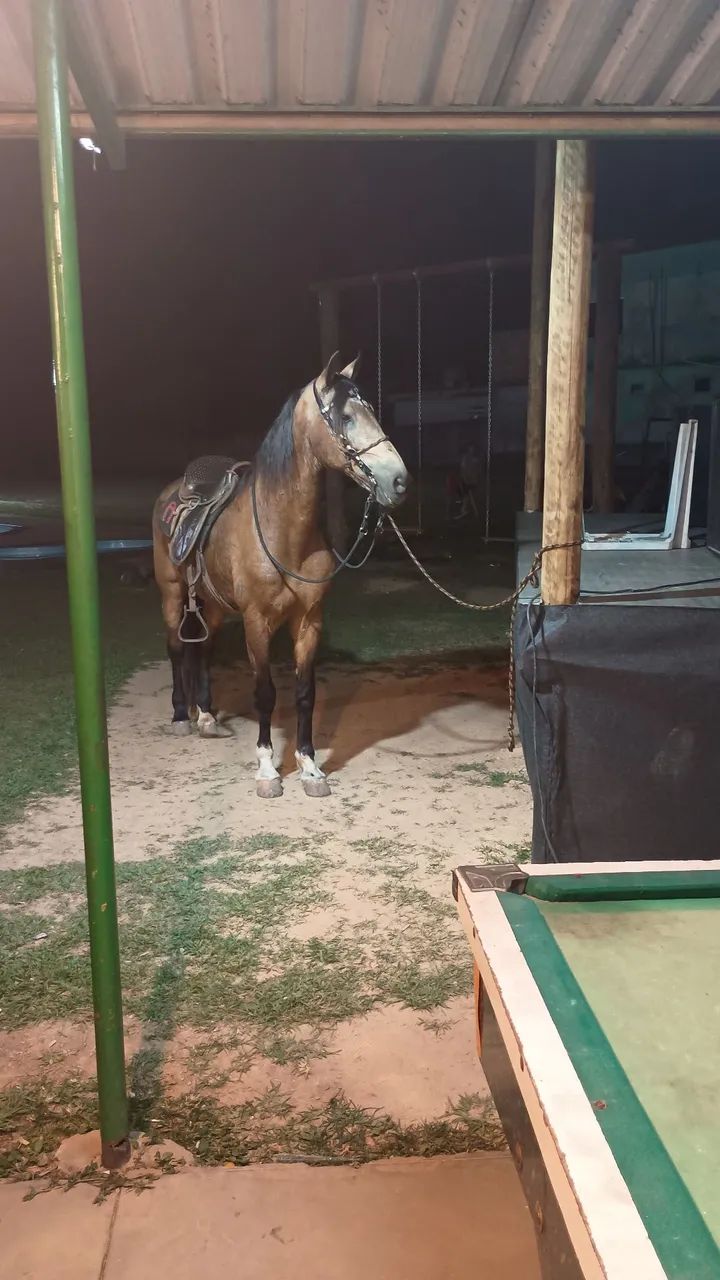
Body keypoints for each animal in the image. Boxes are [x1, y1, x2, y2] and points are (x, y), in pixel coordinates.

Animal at [153, 354, 409, 799]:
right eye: (345, 417)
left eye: (372, 413)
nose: (398, 480)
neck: (284, 531)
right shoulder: (257, 622)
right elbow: (265, 693)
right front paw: (268, 770)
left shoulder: (308, 622)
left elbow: (305, 693)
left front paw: (309, 768)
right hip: (172, 595)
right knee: (177, 649)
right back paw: (182, 715)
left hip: (213, 604)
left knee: (204, 651)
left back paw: (207, 718)